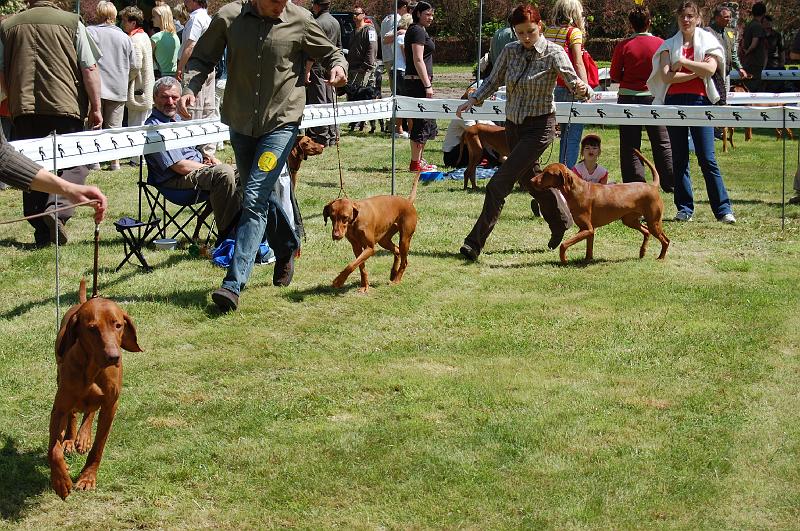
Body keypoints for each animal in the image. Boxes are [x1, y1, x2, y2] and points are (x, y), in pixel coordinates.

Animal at [49, 280, 141, 500]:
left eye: (118, 325)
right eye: (92, 328)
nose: (114, 357)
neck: (93, 369)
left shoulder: (111, 406)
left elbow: (98, 447)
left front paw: (87, 478)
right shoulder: (59, 407)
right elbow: (53, 449)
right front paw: (61, 480)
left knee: (89, 411)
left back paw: (83, 437)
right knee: (74, 413)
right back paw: (70, 439)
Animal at [532, 149, 668, 262]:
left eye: (548, 173)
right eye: (543, 171)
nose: (531, 181)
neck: (577, 191)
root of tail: (652, 186)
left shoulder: (587, 229)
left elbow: (563, 244)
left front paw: (564, 259)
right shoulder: (589, 230)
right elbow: (589, 248)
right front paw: (587, 260)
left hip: (653, 223)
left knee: (666, 240)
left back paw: (660, 257)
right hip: (629, 220)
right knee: (646, 232)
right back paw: (642, 252)